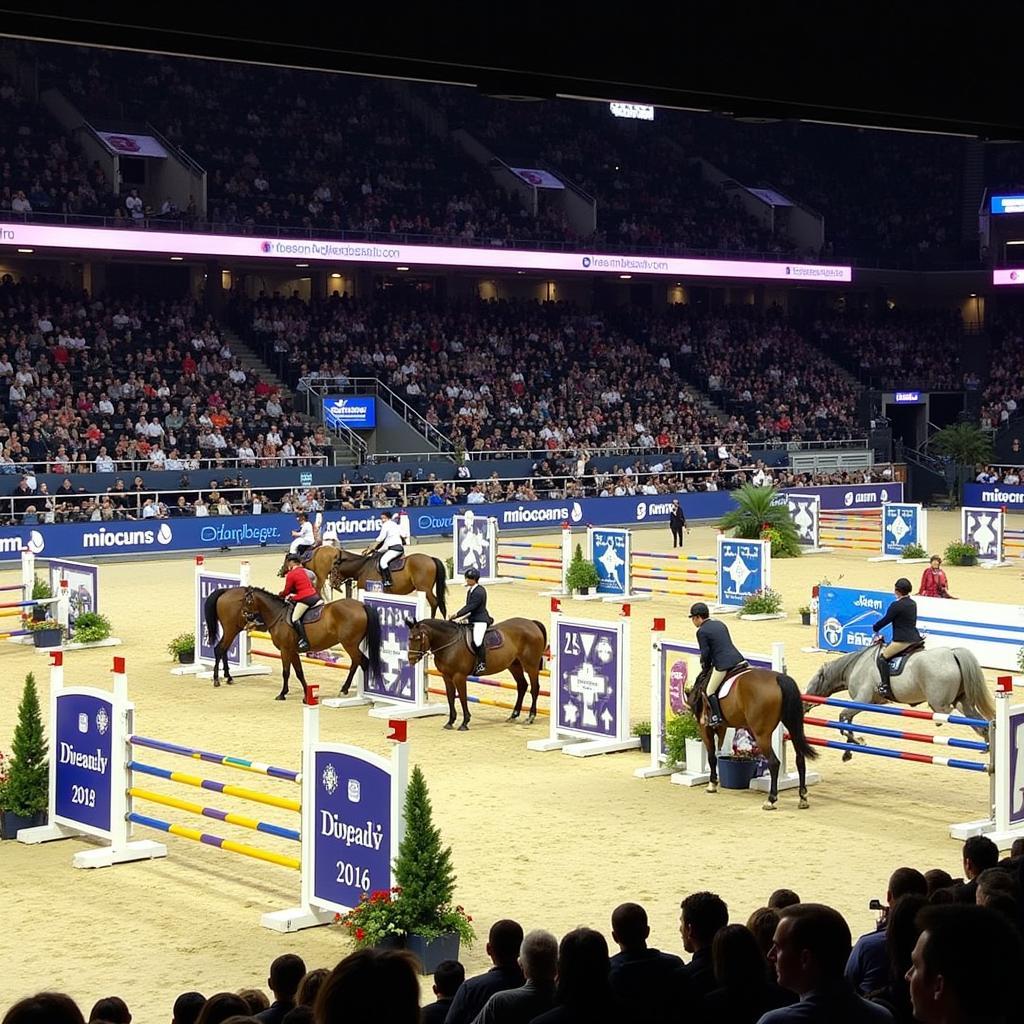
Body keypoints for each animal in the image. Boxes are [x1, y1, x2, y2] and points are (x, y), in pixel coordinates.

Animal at [203, 589, 385, 700]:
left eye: (247, 601)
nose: (244, 615)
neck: (278, 614)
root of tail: (361, 605)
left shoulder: (285, 650)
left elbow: (286, 672)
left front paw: (282, 694)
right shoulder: (293, 651)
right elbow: (298, 672)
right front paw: (305, 694)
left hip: (349, 644)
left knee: (361, 662)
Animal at [403, 614, 548, 729]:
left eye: (418, 638)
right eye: (409, 638)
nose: (411, 659)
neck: (450, 642)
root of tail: (531, 623)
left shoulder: (459, 676)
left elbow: (462, 697)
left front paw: (464, 723)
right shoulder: (447, 676)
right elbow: (450, 697)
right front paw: (450, 722)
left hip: (531, 666)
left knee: (535, 688)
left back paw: (530, 717)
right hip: (514, 665)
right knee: (522, 686)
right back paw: (514, 715)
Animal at [684, 667, 819, 811]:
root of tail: (779, 679)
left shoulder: (704, 728)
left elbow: (711, 757)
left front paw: (712, 784)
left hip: (761, 735)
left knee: (774, 763)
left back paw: (771, 800)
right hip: (792, 726)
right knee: (800, 759)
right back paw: (802, 798)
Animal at [806, 647, 991, 761]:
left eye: (812, 684)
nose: (805, 704)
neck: (855, 666)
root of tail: (952, 654)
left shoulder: (862, 700)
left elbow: (843, 719)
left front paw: (860, 741)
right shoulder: (861, 703)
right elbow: (847, 723)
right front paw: (849, 751)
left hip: (941, 703)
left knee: (946, 712)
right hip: (962, 701)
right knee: (977, 720)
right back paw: (987, 744)